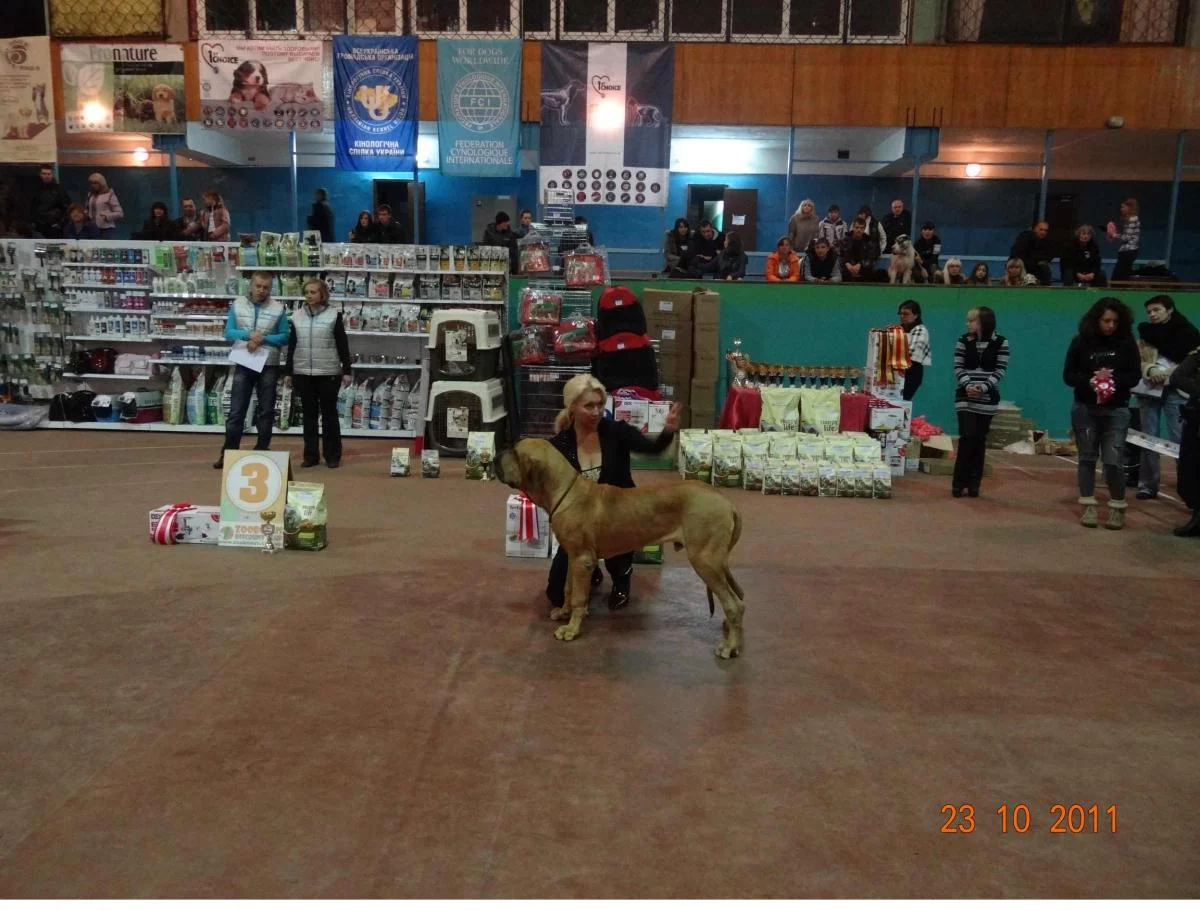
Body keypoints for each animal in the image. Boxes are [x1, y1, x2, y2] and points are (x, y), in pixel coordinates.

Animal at [494, 438, 746, 658]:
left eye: (515, 452)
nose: (495, 456)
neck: (564, 492)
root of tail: (728, 503)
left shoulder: (583, 561)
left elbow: (578, 596)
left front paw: (571, 629)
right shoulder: (573, 557)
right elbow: (568, 588)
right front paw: (564, 613)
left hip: (705, 560)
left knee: (733, 603)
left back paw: (729, 647)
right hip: (717, 561)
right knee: (739, 598)